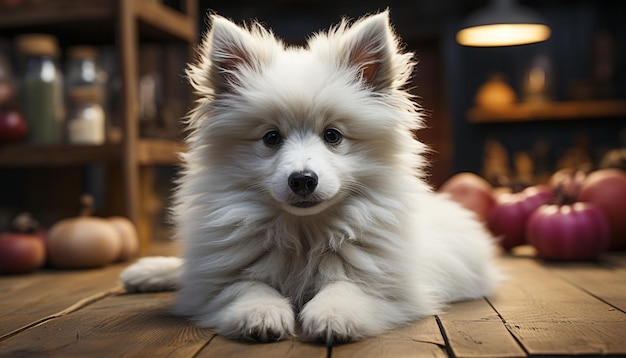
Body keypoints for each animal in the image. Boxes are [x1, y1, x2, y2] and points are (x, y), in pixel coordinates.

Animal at [120, 10, 498, 344]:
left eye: (333, 135)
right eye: (271, 137)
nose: (302, 179)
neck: (304, 233)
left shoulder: (389, 283)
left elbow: (346, 285)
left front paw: (332, 316)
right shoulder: (217, 280)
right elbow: (247, 285)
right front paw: (261, 314)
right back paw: (145, 272)